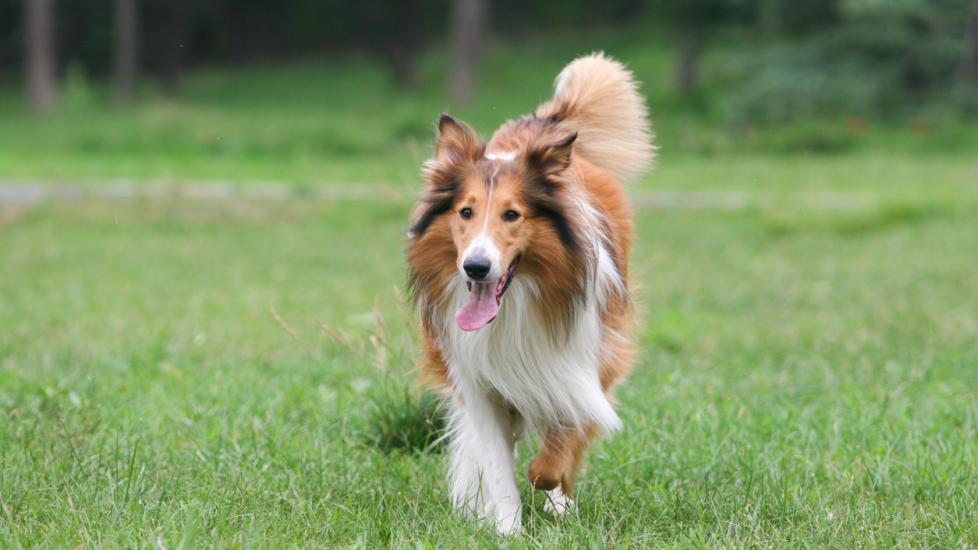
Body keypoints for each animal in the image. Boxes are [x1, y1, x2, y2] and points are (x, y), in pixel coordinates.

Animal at [408, 52, 652, 536]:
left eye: (512, 214)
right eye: (466, 212)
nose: (476, 266)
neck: (516, 305)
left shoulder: (583, 360)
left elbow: (561, 443)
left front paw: (550, 485)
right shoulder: (477, 381)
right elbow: (499, 464)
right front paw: (506, 527)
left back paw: (560, 500)